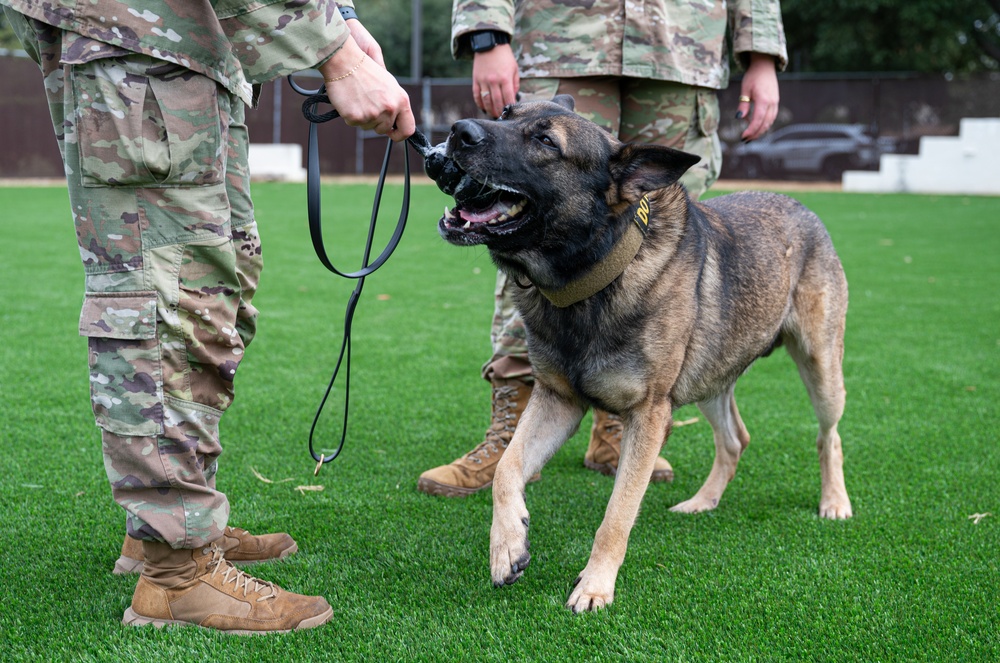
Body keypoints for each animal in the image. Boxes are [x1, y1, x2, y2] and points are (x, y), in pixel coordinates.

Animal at [426, 96, 848, 616]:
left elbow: (618, 512)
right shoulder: (556, 400)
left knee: (828, 436)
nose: (458, 131)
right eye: (505, 111)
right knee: (735, 440)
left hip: (820, 368)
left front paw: (594, 586)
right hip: (710, 378)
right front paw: (508, 547)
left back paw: (834, 502)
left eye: (546, 141)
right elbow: (507, 467)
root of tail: (801, 206)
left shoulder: (649, 416)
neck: (592, 278)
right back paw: (702, 502)